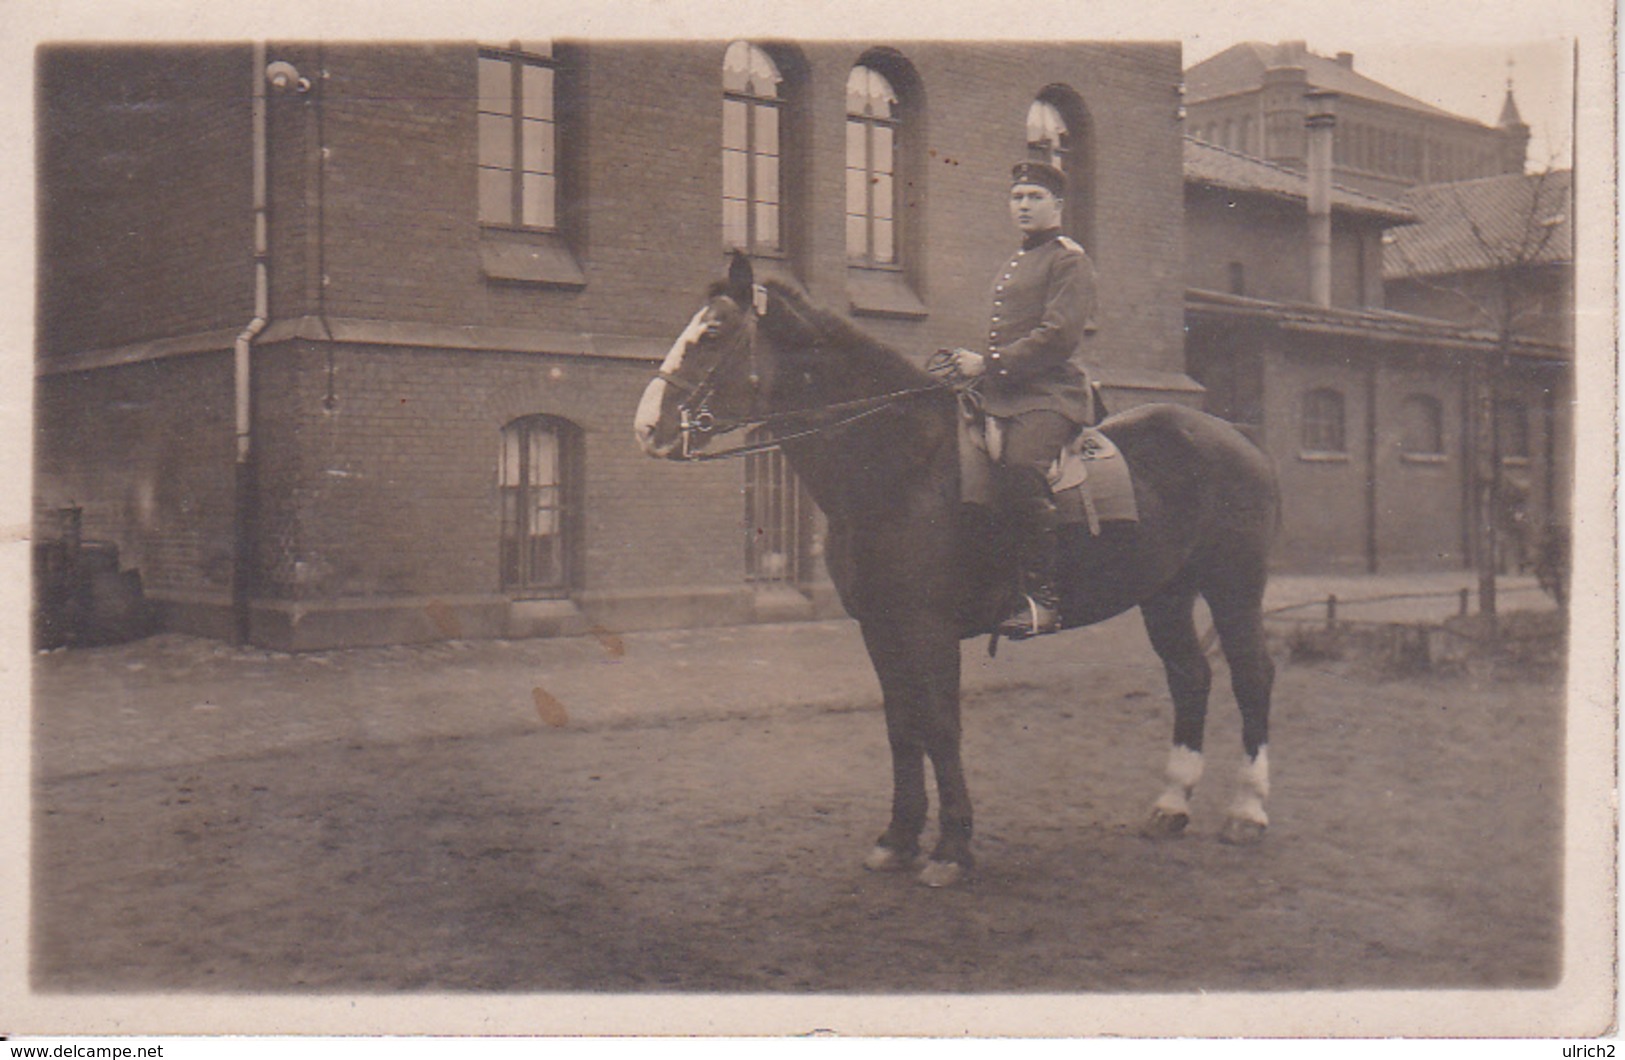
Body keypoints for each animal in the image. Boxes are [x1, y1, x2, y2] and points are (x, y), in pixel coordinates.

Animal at [633, 255, 1280, 884]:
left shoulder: (929, 629)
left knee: (1252, 676)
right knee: (1190, 675)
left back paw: (1247, 811)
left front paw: (951, 848)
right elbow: (902, 726)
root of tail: (1236, 438)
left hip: (1233, 589)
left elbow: (940, 726)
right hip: (1166, 593)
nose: (646, 428)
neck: (903, 464)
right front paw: (897, 839)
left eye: (713, 332)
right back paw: (1172, 805)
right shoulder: (880, 628)